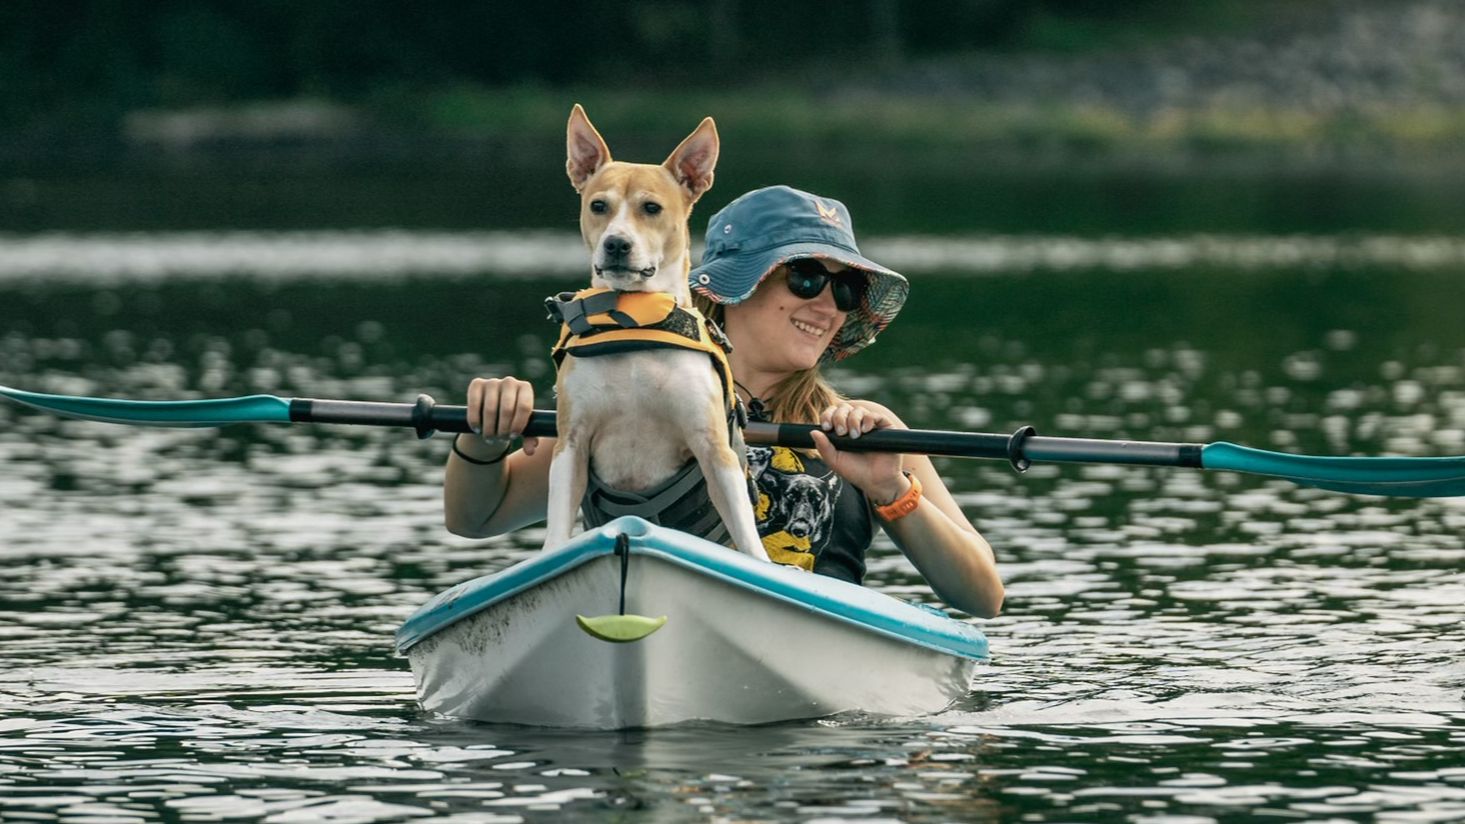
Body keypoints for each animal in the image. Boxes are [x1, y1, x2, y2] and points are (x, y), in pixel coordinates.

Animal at [539, 105, 767, 560]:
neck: (635, 321)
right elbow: (557, 524)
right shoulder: (571, 441)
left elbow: (746, 531)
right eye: (598, 205)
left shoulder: (713, 446)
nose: (616, 244)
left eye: (651, 207)